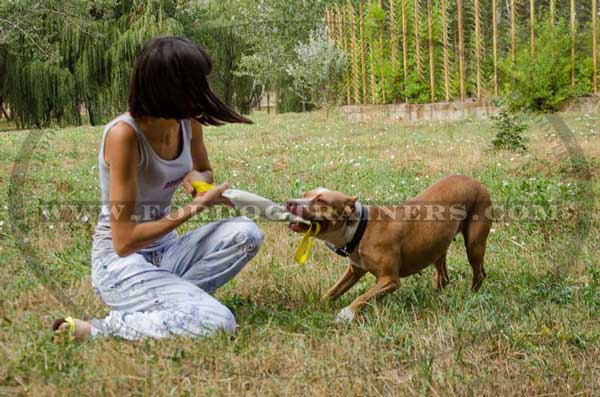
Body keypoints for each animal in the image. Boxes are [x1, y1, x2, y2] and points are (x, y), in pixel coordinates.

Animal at [286, 174, 492, 322]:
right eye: (305, 195)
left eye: (321, 201)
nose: (289, 202)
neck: (360, 228)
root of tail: (475, 181)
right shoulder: (354, 270)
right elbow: (334, 291)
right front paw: (317, 306)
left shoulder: (389, 279)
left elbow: (363, 297)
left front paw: (346, 314)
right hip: (438, 246)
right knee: (443, 276)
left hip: (474, 245)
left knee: (479, 273)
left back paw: (470, 296)